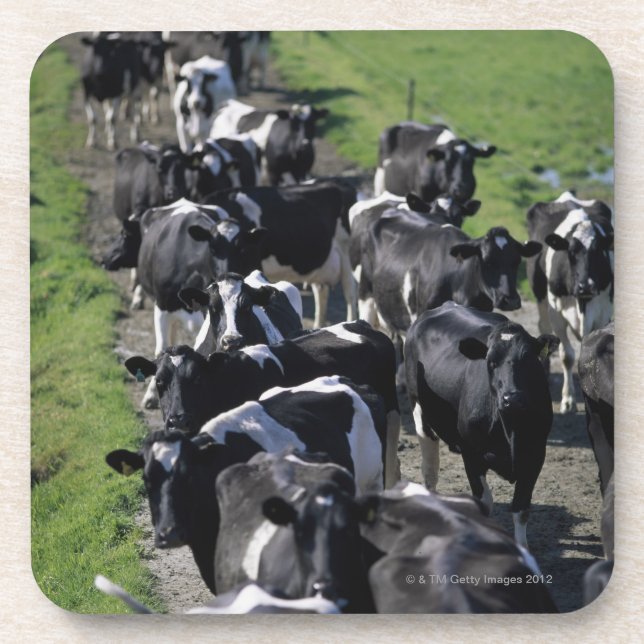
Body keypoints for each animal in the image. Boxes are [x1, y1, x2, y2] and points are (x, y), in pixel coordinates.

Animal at [200, 181, 357, 327]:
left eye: (241, 249)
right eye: (212, 249)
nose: (224, 273)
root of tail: (338, 183)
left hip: (346, 253)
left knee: (350, 291)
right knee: (321, 292)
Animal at [404, 301, 559, 547]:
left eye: (528, 360)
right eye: (491, 362)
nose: (512, 398)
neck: (509, 428)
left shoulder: (535, 454)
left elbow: (521, 508)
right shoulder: (471, 454)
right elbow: (484, 502)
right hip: (419, 411)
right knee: (430, 471)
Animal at [526, 190, 614, 412]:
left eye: (598, 251)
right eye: (571, 253)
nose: (586, 286)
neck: (581, 303)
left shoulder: (603, 312)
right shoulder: (556, 312)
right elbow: (567, 356)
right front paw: (568, 400)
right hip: (541, 298)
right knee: (542, 326)